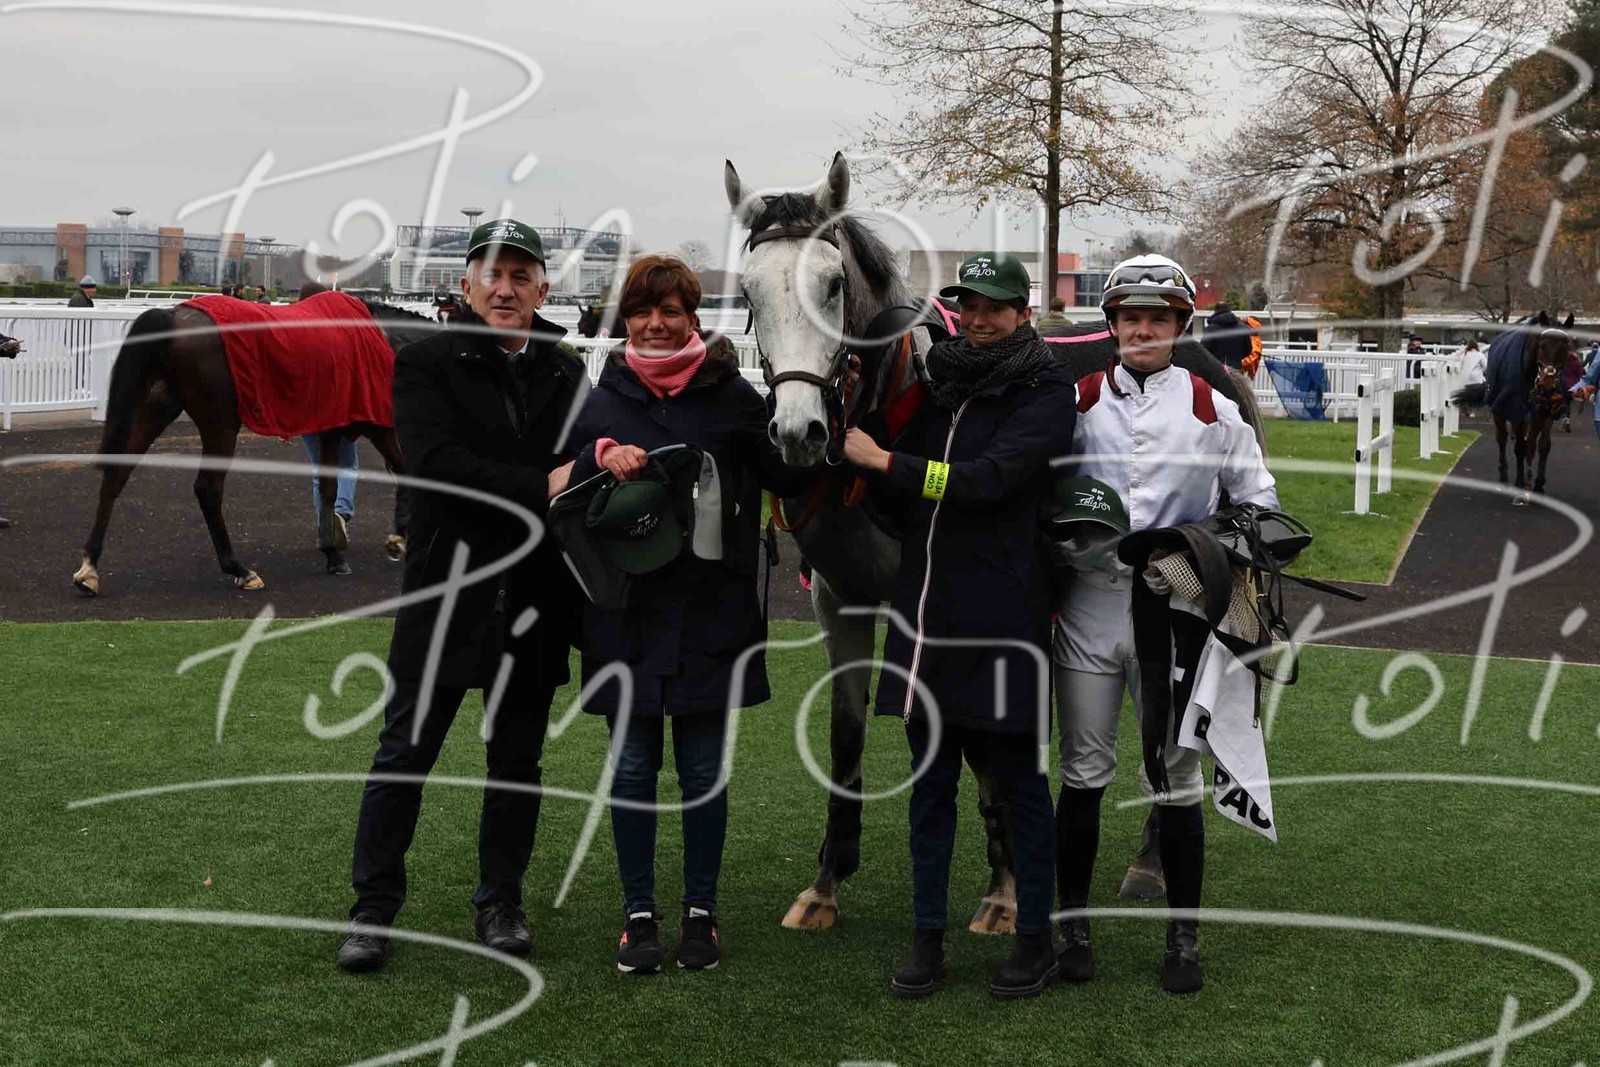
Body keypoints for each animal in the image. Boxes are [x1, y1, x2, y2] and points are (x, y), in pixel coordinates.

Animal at [72, 296, 436, 596]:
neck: (386, 339)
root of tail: (173, 315)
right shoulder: (376, 424)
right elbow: (398, 472)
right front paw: (392, 539)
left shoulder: (334, 427)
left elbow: (332, 486)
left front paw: (336, 551)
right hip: (220, 422)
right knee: (207, 489)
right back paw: (239, 569)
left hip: (157, 405)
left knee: (117, 473)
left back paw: (90, 568)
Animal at [725, 152, 1268, 930]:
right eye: (749, 290)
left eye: (831, 284)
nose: (799, 431)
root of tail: (1211, 357)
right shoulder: (841, 602)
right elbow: (846, 733)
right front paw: (827, 880)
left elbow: (979, 740)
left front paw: (1006, 888)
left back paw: (1148, 859)